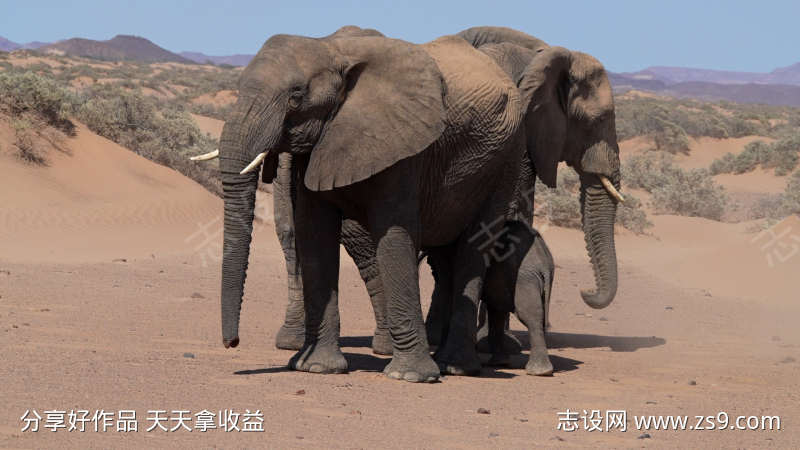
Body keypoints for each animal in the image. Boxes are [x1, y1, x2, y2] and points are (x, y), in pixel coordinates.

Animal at [210, 29, 533, 382]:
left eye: (296, 95)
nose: (232, 343)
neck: (333, 49)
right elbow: (314, 237)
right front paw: (318, 368)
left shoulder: (404, 144)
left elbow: (393, 237)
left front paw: (411, 377)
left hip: (506, 159)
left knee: (474, 250)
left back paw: (456, 366)